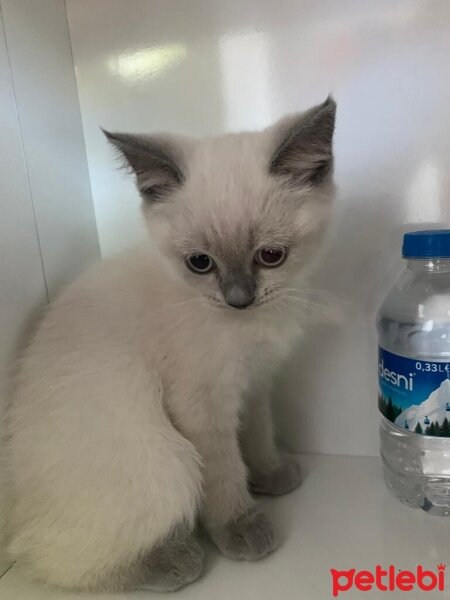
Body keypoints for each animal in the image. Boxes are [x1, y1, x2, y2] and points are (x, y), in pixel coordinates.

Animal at [3, 97, 334, 592]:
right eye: (200, 263)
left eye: (270, 256)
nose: (239, 298)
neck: (250, 325)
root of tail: (13, 509)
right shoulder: (202, 406)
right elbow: (224, 472)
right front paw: (240, 527)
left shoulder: (253, 386)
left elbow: (257, 436)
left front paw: (271, 475)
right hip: (166, 459)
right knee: (53, 559)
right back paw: (175, 560)